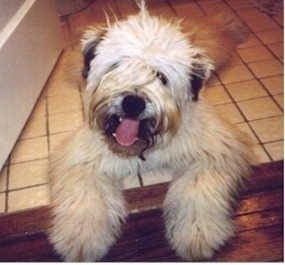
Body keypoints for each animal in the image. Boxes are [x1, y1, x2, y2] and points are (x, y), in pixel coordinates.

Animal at [48, 1, 251, 260]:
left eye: (160, 76)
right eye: (118, 66)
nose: (133, 103)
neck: (142, 149)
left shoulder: (215, 148)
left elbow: (196, 188)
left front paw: (196, 232)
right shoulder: (81, 156)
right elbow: (86, 195)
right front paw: (82, 235)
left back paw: (230, 23)